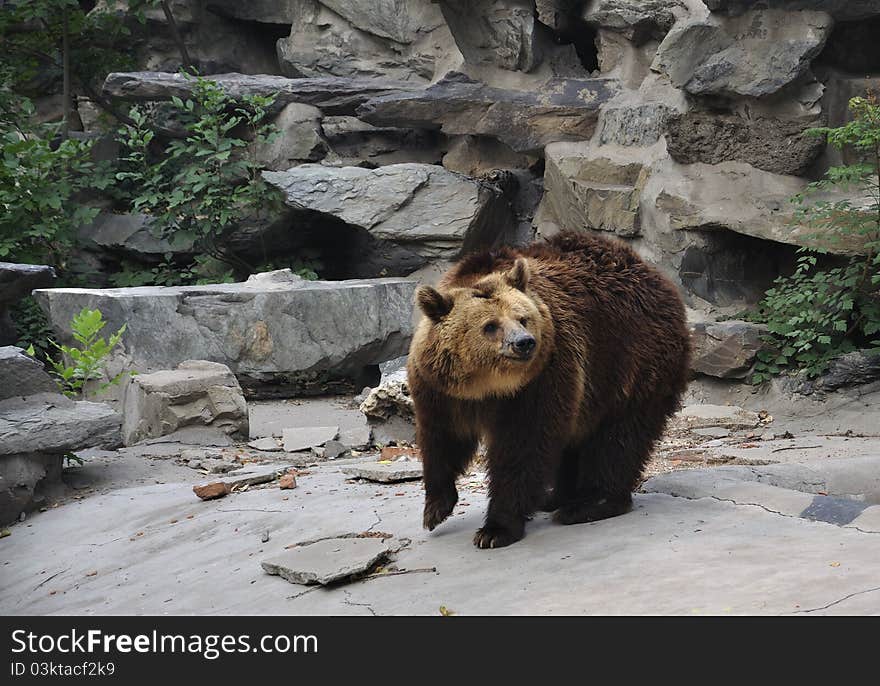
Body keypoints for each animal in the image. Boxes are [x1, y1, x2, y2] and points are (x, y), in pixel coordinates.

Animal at [410, 234, 692, 552]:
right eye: (490, 326)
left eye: (523, 318)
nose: (524, 343)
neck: (484, 387)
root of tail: (656, 276)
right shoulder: (439, 390)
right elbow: (441, 438)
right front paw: (435, 509)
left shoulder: (541, 379)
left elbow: (524, 444)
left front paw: (495, 529)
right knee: (576, 439)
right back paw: (556, 497)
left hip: (631, 359)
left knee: (619, 437)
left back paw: (589, 503)